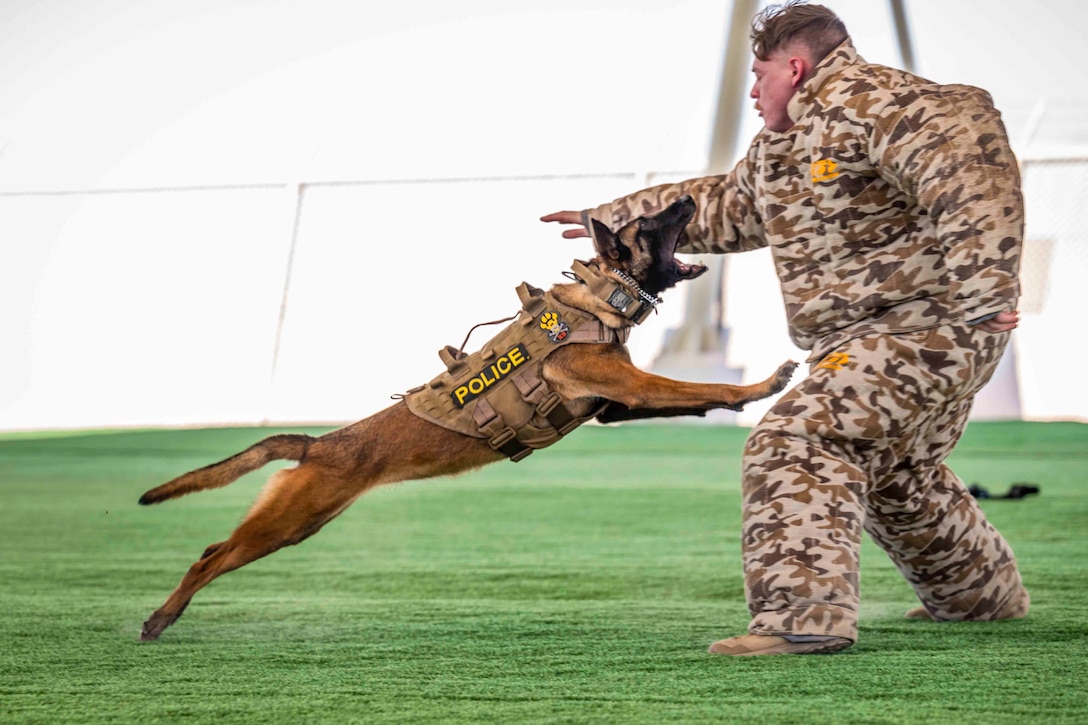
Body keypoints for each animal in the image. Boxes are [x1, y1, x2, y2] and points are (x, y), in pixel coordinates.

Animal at [138, 193, 800, 640]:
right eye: (651, 223)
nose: (689, 198)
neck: (597, 299)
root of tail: (318, 445)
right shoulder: (634, 387)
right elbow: (700, 381)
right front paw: (763, 383)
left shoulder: (617, 406)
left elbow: (696, 394)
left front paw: (737, 400)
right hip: (288, 522)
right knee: (210, 557)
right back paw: (160, 617)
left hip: (301, 520)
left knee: (215, 549)